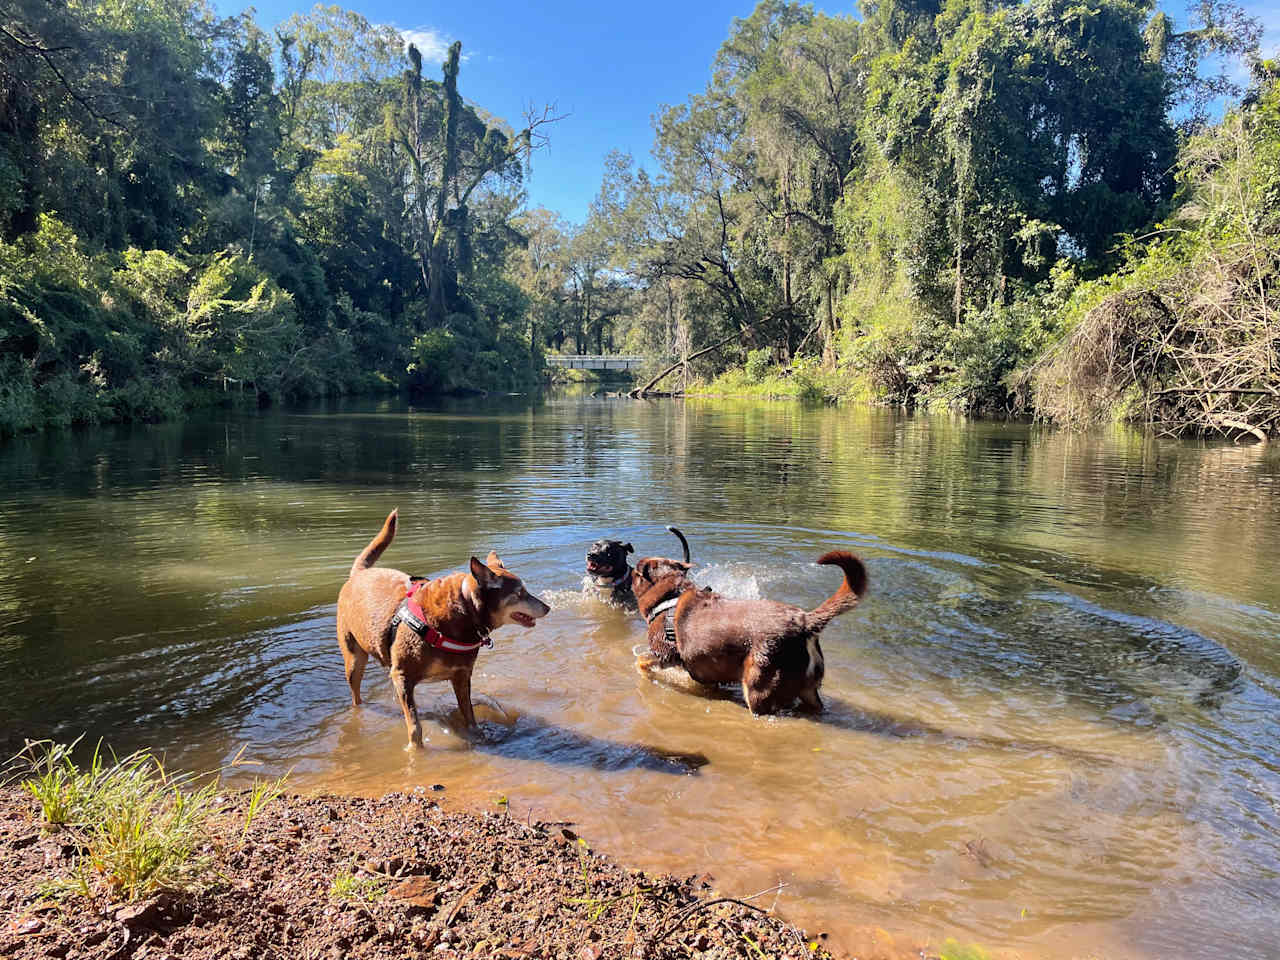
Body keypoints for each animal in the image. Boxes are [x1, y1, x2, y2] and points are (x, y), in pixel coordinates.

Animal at [335, 512, 550, 752]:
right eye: (519, 593)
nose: (547, 607)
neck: (463, 612)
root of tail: (359, 574)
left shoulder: (462, 676)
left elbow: (469, 715)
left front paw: (479, 737)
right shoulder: (402, 676)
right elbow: (415, 727)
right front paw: (414, 751)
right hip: (354, 657)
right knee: (356, 692)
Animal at [632, 555, 865, 716]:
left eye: (635, 573)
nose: (631, 569)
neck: (669, 596)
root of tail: (803, 620)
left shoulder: (665, 654)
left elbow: (641, 662)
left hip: (758, 686)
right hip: (809, 689)